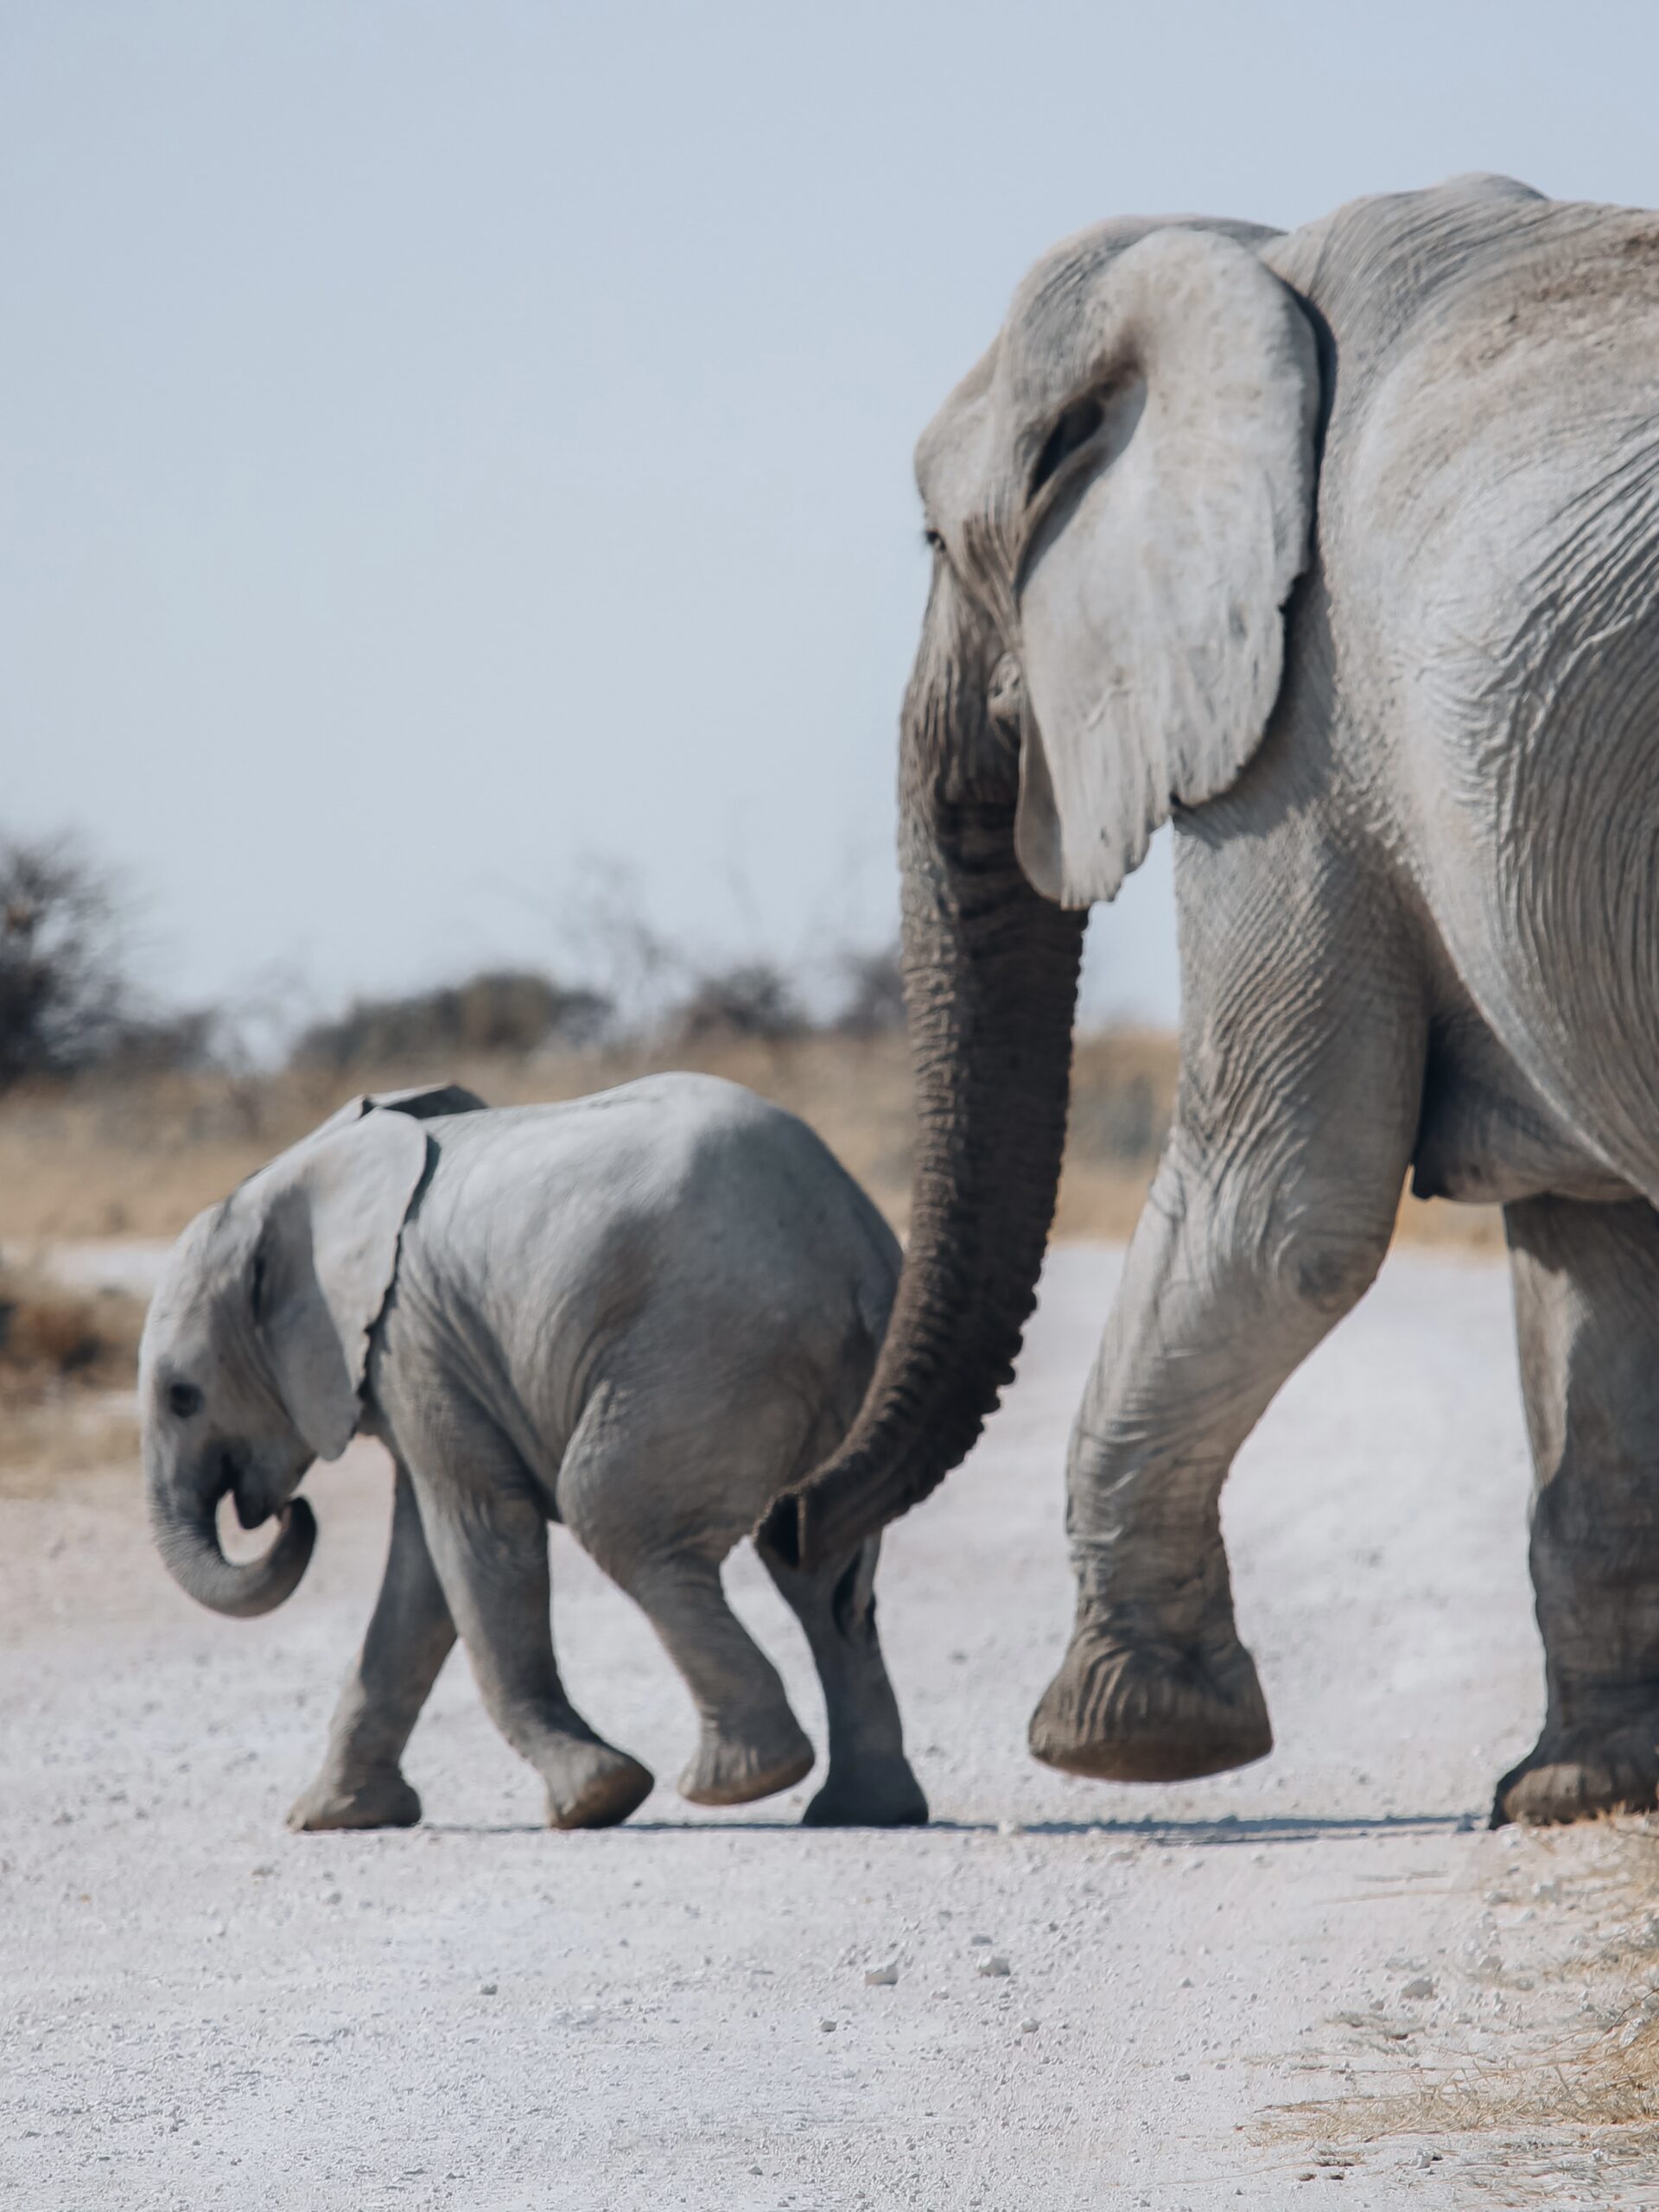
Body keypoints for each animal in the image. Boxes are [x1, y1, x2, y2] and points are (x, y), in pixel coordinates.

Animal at [140, 1077, 927, 1832]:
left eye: (183, 1397)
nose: (288, 1513)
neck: (293, 1176)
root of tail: (857, 1242)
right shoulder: (422, 1356)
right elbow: (419, 1576)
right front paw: (332, 1820)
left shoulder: (411, 1336)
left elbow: (479, 1537)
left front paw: (595, 1799)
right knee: (819, 1569)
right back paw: (862, 1810)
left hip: (711, 1349)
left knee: (615, 1517)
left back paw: (740, 1781)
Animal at [763, 174, 1659, 1828]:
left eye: (933, 536)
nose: (791, 1529)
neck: (1246, 263)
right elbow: (1583, 1261)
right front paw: (1574, 1794)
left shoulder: (1302, 725)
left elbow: (1281, 1206)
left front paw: (1124, 1740)